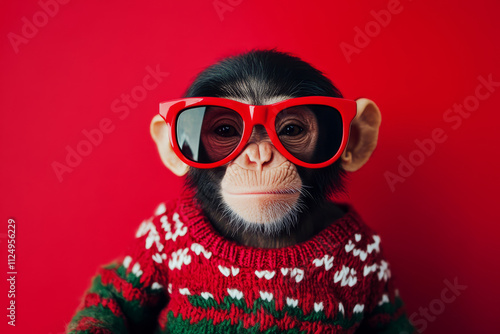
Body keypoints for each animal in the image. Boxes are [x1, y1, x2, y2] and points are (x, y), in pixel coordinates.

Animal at [67, 49, 418, 334]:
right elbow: (116, 293)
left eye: (291, 129)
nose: (259, 156)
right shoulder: (160, 231)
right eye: (226, 130)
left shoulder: (371, 254)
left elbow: (388, 320)